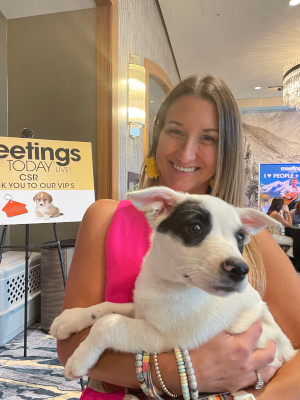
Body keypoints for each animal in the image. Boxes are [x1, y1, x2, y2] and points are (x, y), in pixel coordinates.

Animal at [50, 186, 296, 380]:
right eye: (195, 227)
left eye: (240, 238)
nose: (240, 270)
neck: (167, 282)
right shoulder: (142, 310)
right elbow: (106, 307)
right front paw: (71, 319)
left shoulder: (165, 337)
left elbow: (108, 323)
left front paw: (79, 359)